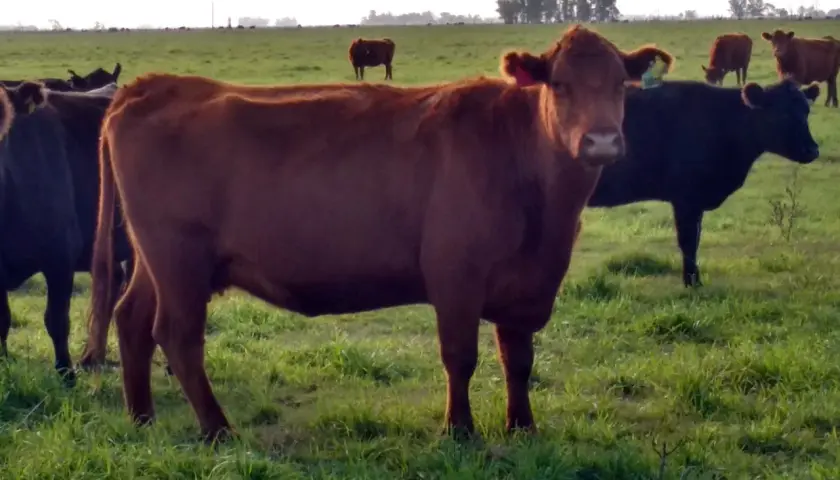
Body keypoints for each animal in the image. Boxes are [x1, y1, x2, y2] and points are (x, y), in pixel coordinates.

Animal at [88, 25, 673, 443]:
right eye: (561, 85)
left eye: (620, 85)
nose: (601, 141)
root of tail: (150, 86)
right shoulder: (455, 275)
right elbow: (460, 356)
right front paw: (459, 432)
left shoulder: (524, 282)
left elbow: (518, 359)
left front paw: (522, 427)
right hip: (180, 260)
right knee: (179, 337)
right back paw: (218, 430)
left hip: (156, 261)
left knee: (132, 319)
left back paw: (142, 418)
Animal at [587, 78, 821, 287]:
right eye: (782, 113)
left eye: (806, 111)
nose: (812, 150)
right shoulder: (686, 198)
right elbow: (688, 240)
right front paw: (692, 282)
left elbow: (696, 239)